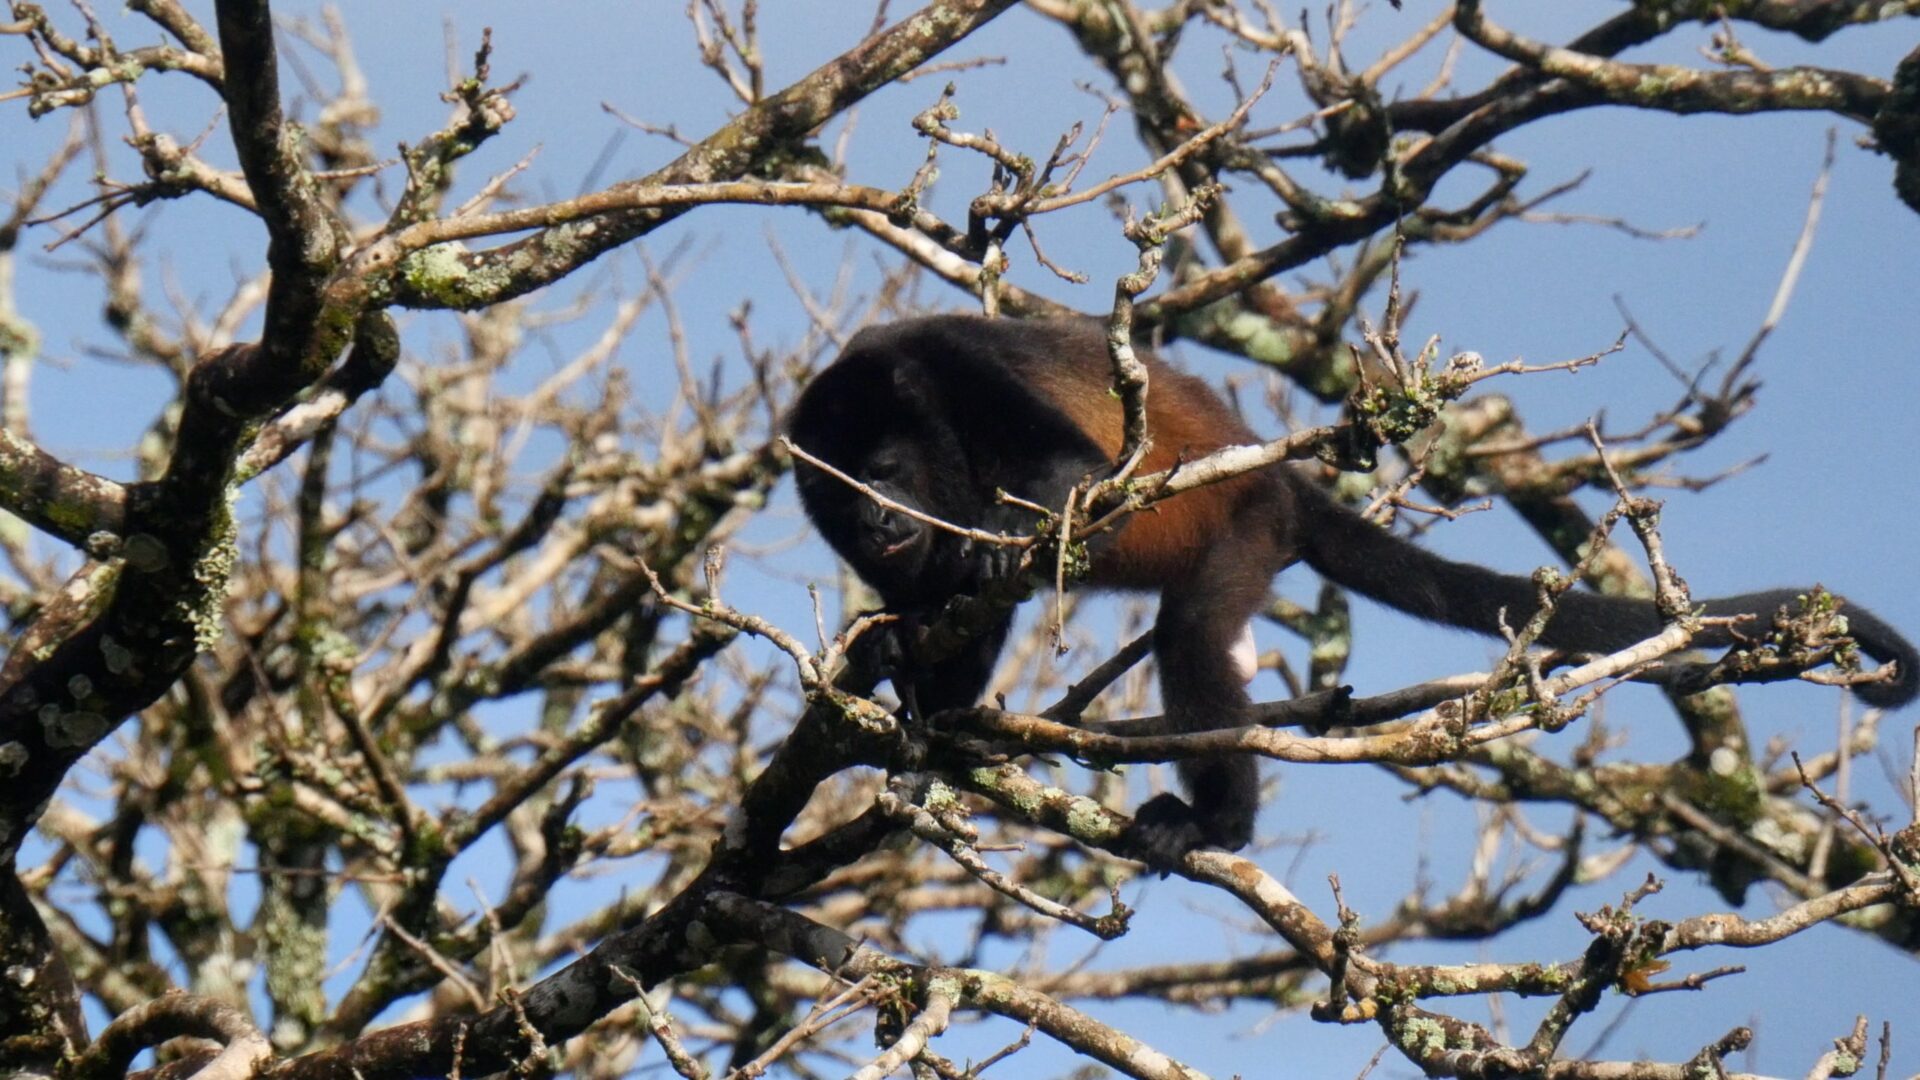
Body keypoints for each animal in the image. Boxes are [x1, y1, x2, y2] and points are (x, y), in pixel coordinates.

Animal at [787, 314, 1918, 868]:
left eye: (881, 472)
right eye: (837, 501)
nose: (877, 526)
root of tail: (1282, 480)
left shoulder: (960, 368)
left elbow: (1076, 473)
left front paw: (1008, 537)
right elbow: (950, 630)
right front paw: (908, 672)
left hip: (1249, 527)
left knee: (1193, 636)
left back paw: (1215, 826)